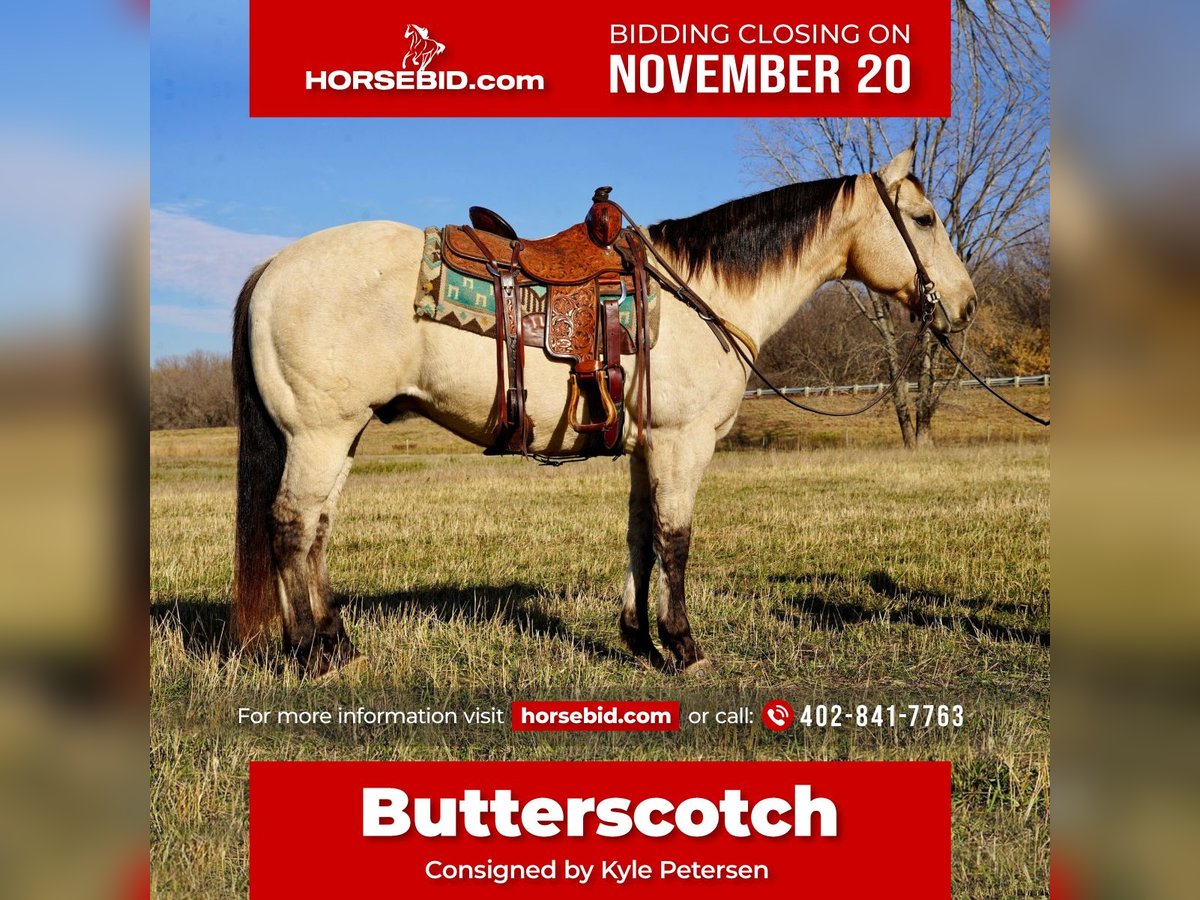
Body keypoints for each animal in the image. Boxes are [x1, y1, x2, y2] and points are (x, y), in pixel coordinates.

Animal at [230, 148, 976, 677]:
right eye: (924, 219)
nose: (965, 304)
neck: (702, 295)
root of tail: (270, 268)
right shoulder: (682, 443)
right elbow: (676, 540)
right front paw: (685, 647)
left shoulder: (648, 448)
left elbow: (641, 537)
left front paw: (639, 642)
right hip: (319, 434)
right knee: (292, 526)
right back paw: (312, 656)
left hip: (340, 434)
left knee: (317, 530)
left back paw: (340, 644)